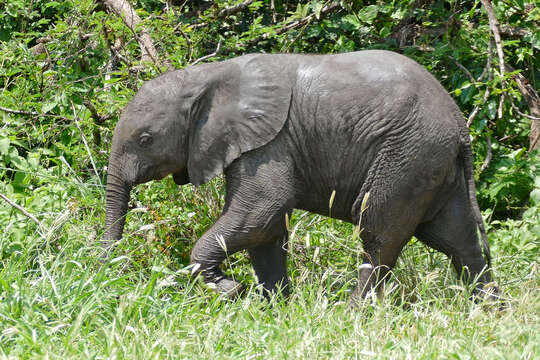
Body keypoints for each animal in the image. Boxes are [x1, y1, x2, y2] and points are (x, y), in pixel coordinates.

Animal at [104, 50, 498, 302]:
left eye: (145, 139)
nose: (110, 277)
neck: (206, 77)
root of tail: (460, 126)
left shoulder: (269, 143)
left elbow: (263, 210)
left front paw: (231, 291)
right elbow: (265, 230)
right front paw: (273, 308)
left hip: (408, 155)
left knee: (377, 236)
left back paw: (352, 314)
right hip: (432, 163)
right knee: (458, 240)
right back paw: (487, 312)